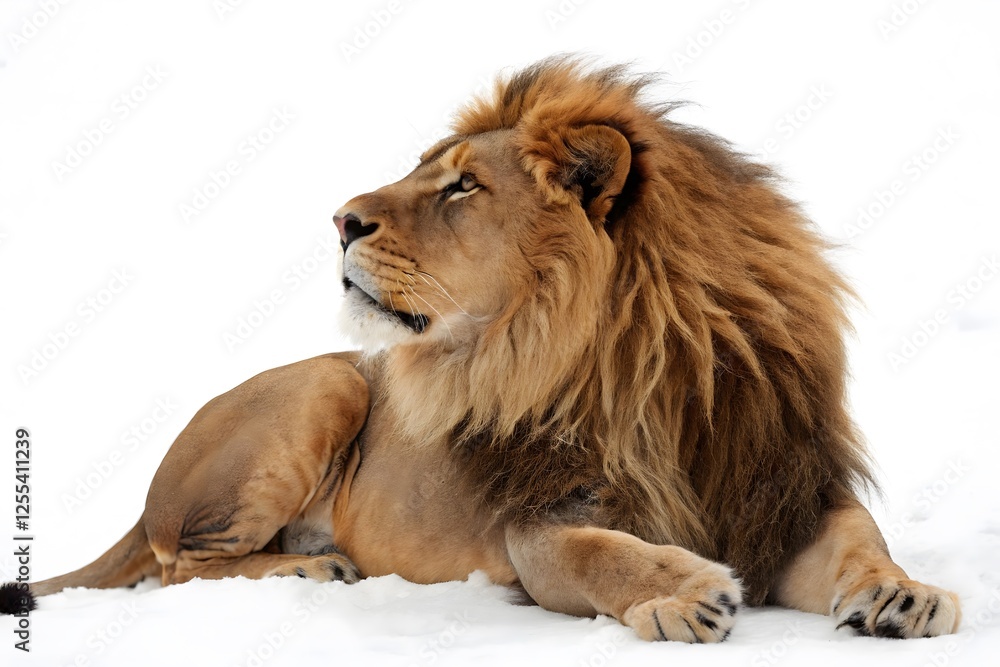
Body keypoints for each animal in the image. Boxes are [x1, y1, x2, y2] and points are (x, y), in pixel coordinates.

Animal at [1, 58, 961, 642]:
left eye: (462, 185)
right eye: (430, 172)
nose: (340, 219)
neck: (639, 371)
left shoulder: (777, 487)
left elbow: (863, 540)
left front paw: (904, 593)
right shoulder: (538, 521)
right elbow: (599, 553)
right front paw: (683, 593)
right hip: (326, 386)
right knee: (182, 568)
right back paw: (315, 565)